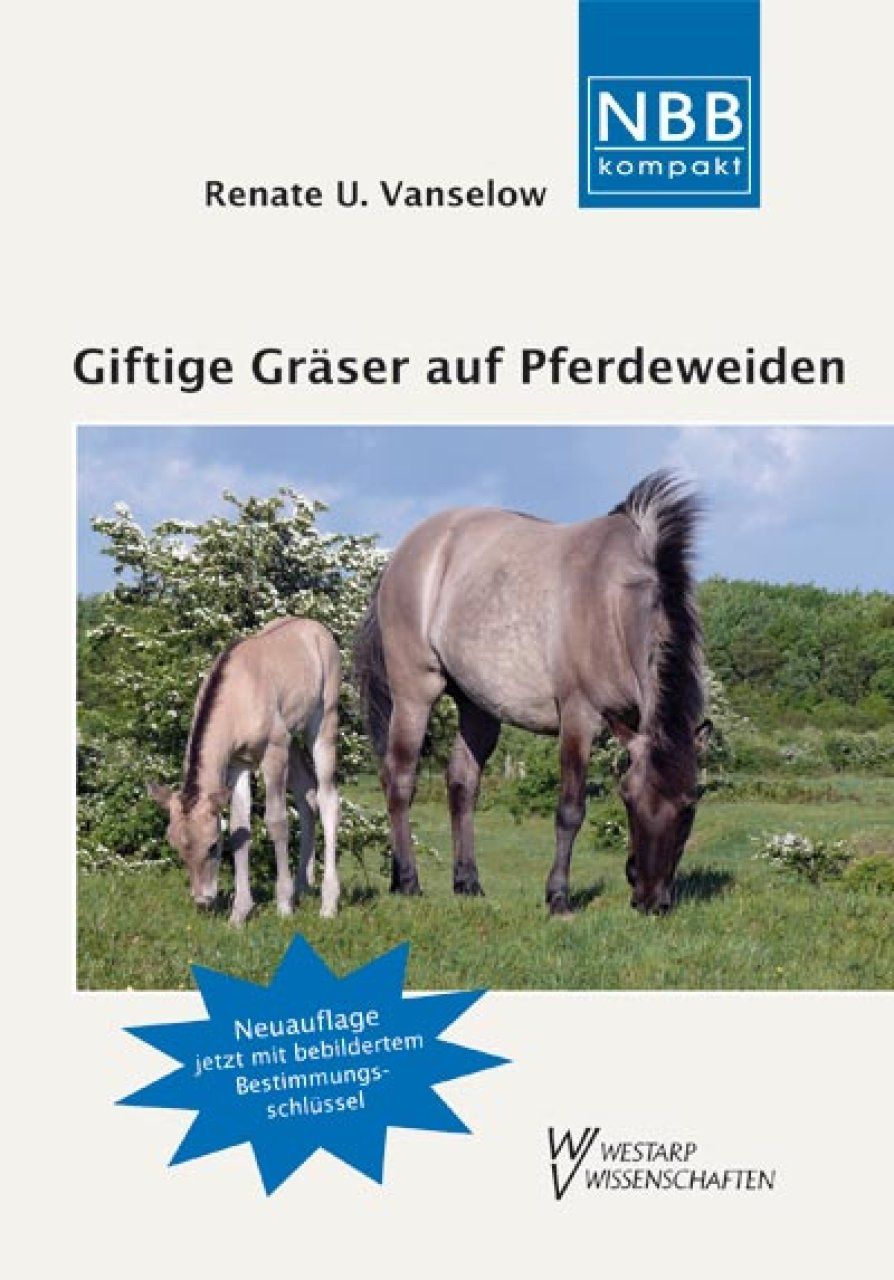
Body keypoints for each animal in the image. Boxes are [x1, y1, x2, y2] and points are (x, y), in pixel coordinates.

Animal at [149, 617, 341, 923]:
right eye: (175, 846)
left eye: (212, 846)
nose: (202, 900)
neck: (237, 696)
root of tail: (316, 628)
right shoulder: (237, 764)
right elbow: (240, 829)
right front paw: (239, 912)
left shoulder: (273, 752)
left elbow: (277, 822)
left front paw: (283, 905)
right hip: (292, 742)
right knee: (306, 796)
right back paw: (303, 886)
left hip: (322, 723)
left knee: (327, 799)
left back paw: (328, 903)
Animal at [354, 470, 711, 916]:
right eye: (629, 800)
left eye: (688, 806)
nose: (649, 901)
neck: (614, 600)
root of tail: (403, 554)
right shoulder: (579, 716)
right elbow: (570, 810)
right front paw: (558, 896)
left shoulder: (631, 722)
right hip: (414, 692)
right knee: (400, 778)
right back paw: (407, 881)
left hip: (477, 706)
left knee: (462, 783)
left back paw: (467, 882)